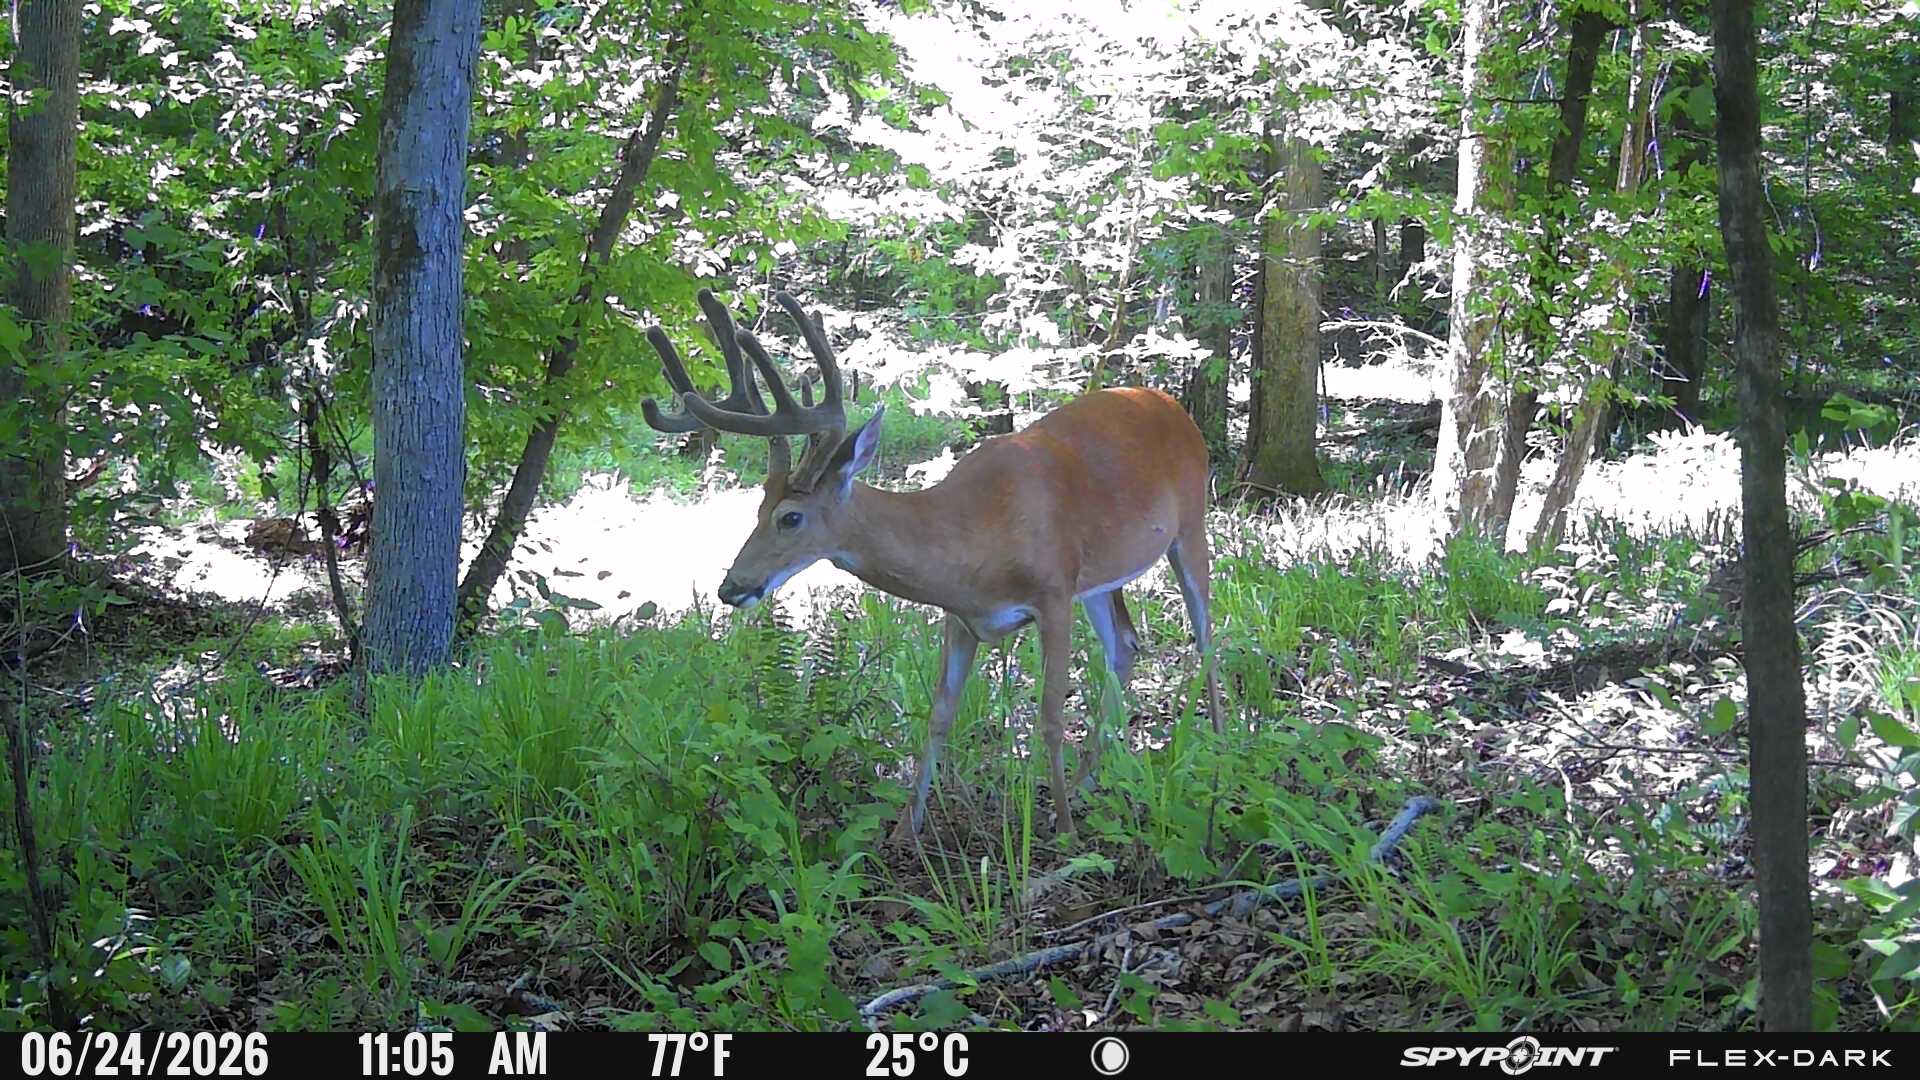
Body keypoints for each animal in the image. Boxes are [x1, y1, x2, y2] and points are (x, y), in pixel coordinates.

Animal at [641, 289, 1225, 840]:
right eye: (758, 507)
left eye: (790, 517)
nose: (731, 588)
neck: (970, 541)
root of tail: (1171, 404)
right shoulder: (961, 616)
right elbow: (939, 714)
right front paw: (907, 828)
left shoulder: (1054, 592)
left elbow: (1050, 718)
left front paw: (1061, 829)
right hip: (1103, 576)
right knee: (1126, 646)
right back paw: (1089, 780)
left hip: (1191, 525)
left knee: (1206, 637)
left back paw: (1221, 747)